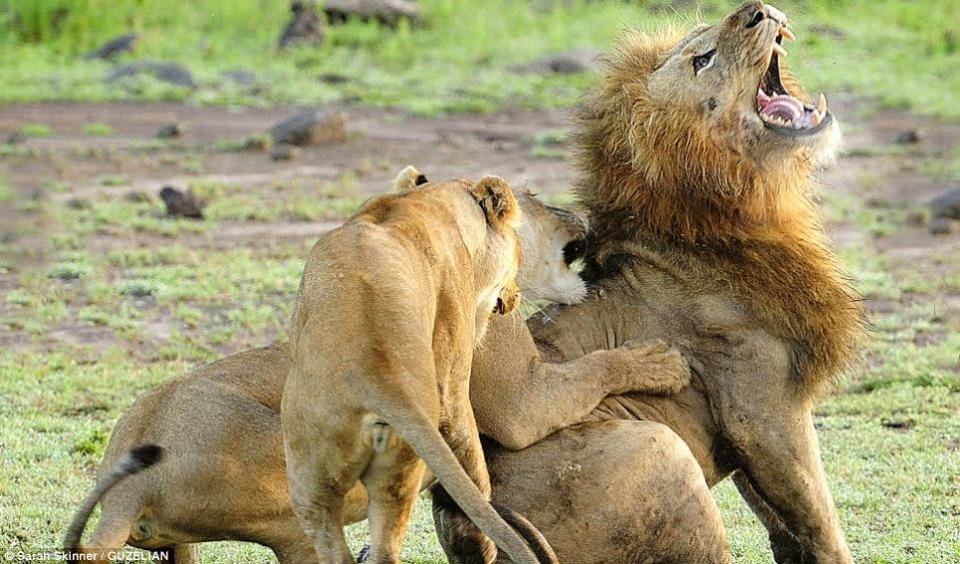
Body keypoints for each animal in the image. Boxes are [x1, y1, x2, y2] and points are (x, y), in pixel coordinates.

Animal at [438, 2, 868, 560]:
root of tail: (470, 519)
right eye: (702, 58)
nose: (759, 10)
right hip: (663, 449)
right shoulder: (762, 410)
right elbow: (819, 519)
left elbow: (782, 523)